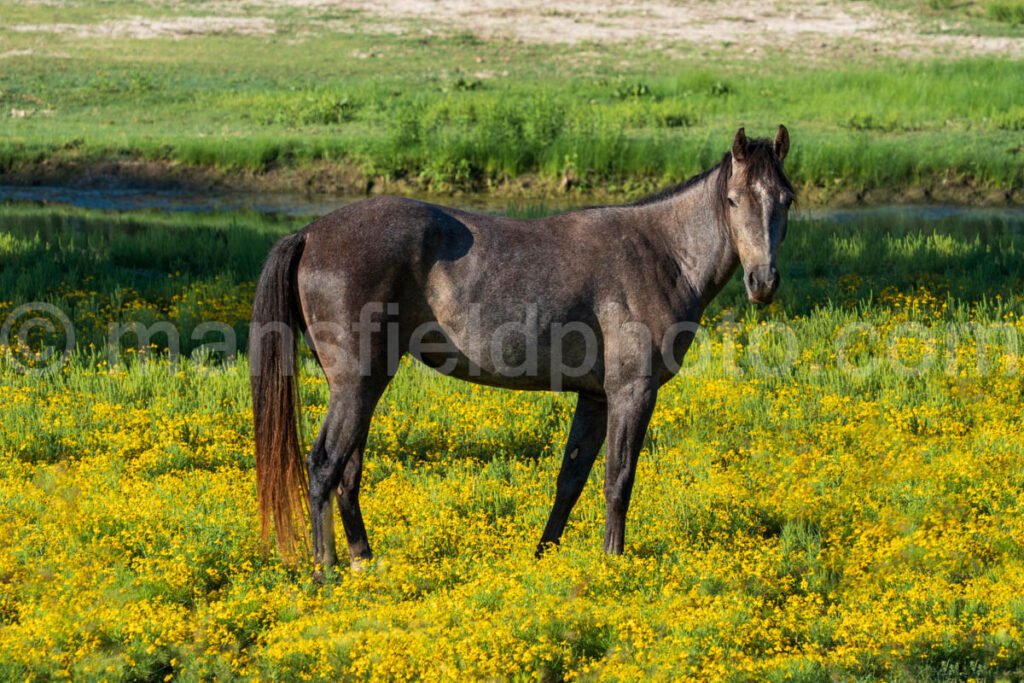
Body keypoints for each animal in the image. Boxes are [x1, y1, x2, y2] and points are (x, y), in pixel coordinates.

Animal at [247, 124, 790, 573]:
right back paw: (326, 570)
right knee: (324, 465)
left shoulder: (595, 397)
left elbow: (571, 479)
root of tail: (310, 234)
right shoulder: (632, 393)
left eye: (785, 198)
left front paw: (543, 554)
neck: (661, 254)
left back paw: (363, 560)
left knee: (349, 469)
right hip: (358, 382)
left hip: (361, 387)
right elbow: (618, 479)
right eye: (734, 200)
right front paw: (612, 563)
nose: (763, 282)